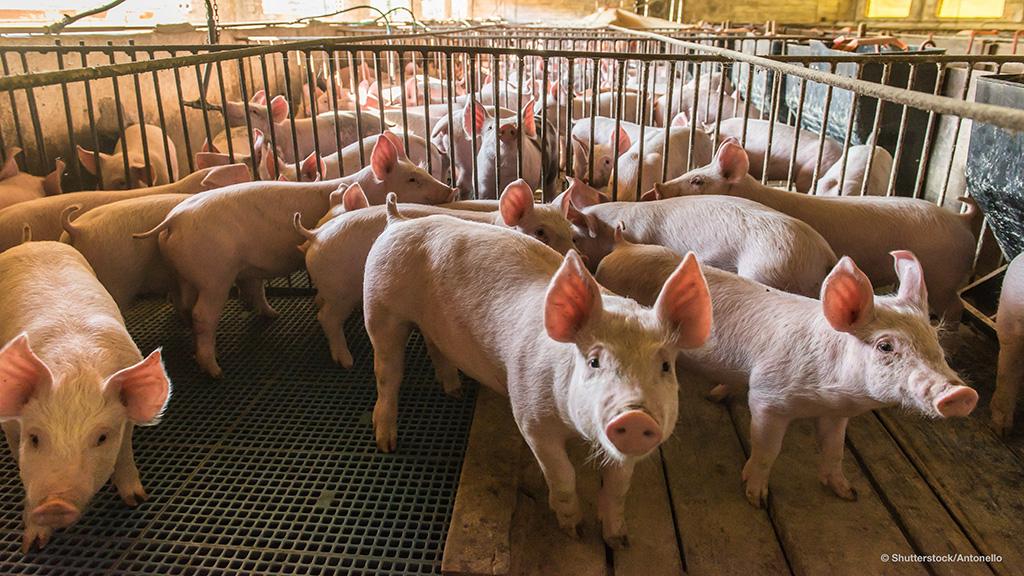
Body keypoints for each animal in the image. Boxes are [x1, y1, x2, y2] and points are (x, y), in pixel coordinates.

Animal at [0, 241, 172, 552]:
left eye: (101, 437)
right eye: (34, 438)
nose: (55, 504)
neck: (75, 371)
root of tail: (31, 242)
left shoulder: (126, 420)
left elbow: (124, 452)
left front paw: (136, 500)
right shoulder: (10, 426)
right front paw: (32, 546)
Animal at [135, 136, 456, 377]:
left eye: (425, 171)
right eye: (413, 179)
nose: (451, 189)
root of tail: (173, 220)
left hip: (185, 273)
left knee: (184, 302)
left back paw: (266, 316)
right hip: (214, 274)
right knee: (203, 314)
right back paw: (214, 371)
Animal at [297, 179, 577, 369]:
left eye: (571, 233)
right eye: (540, 232)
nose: (579, 260)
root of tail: (316, 235)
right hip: (341, 291)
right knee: (327, 317)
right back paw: (346, 361)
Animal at [362, 204, 712, 545]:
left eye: (665, 366)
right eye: (594, 361)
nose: (635, 416)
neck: (576, 431)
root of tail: (398, 220)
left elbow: (618, 485)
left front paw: (618, 539)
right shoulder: (531, 418)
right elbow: (563, 475)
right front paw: (575, 530)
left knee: (435, 346)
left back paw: (454, 391)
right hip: (380, 308)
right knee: (387, 372)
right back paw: (387, 443)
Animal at [595, 237, 978, 507]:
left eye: (934, 340)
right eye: (886, 346)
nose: (961, 393)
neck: (829, 395)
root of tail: (622, 248)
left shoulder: (837, 414)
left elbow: (834, 450)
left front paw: (848, 492)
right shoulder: (768, 398)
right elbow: (767, 450)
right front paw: (756, 498)